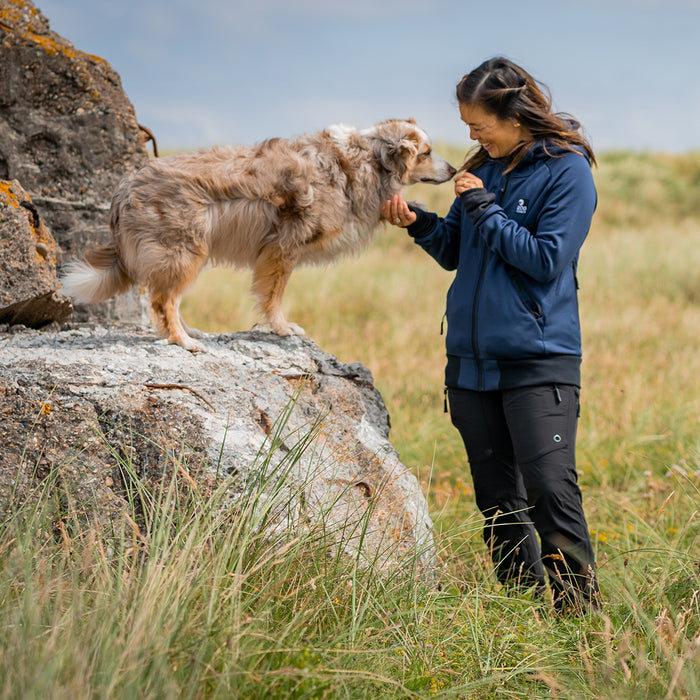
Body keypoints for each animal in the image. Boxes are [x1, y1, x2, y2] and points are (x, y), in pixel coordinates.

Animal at [60, 119, 454, 356]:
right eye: (427, 153)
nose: (453, 169)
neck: (367, 161)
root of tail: (125, 185)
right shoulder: (282, 250)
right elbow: (273, 296)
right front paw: (282, 329)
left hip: (185, 256)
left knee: (168, 299)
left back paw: (191, 333)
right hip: (184, 252)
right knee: (163, 301)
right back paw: (183, 341)